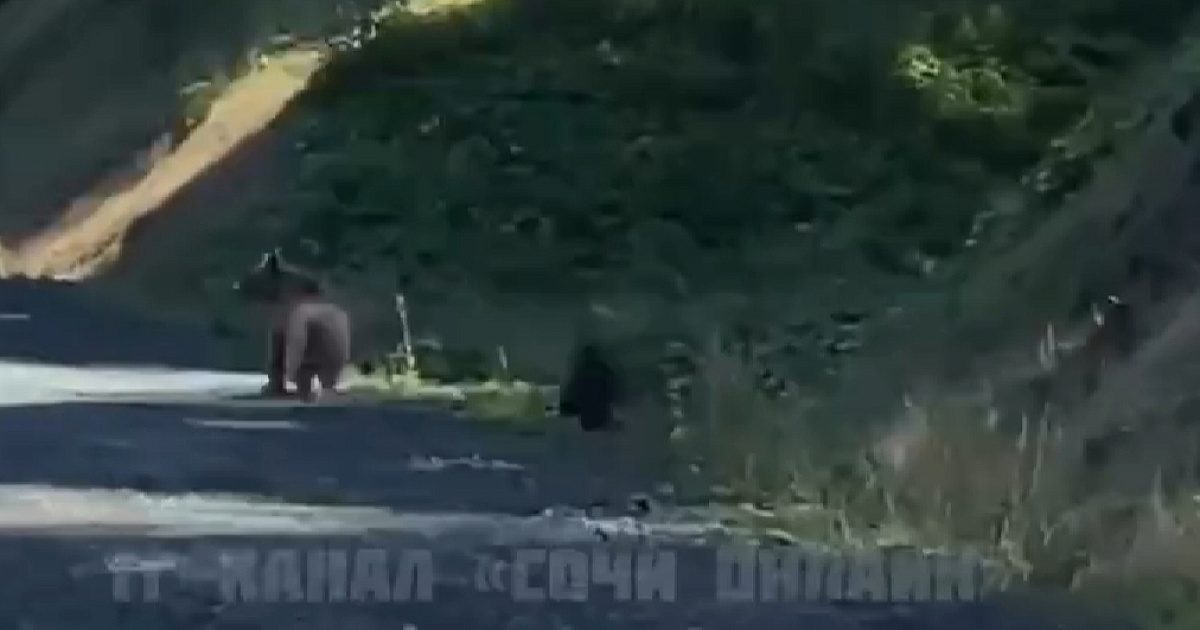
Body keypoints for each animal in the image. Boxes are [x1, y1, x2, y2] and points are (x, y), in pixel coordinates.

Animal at [233, 248, 351, 402]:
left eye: (252, 271)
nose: (236, 286)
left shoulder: (286, 315)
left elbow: (280, 346)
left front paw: (271, 387)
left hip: (320, 342)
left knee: (306, 367)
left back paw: (307, 390)